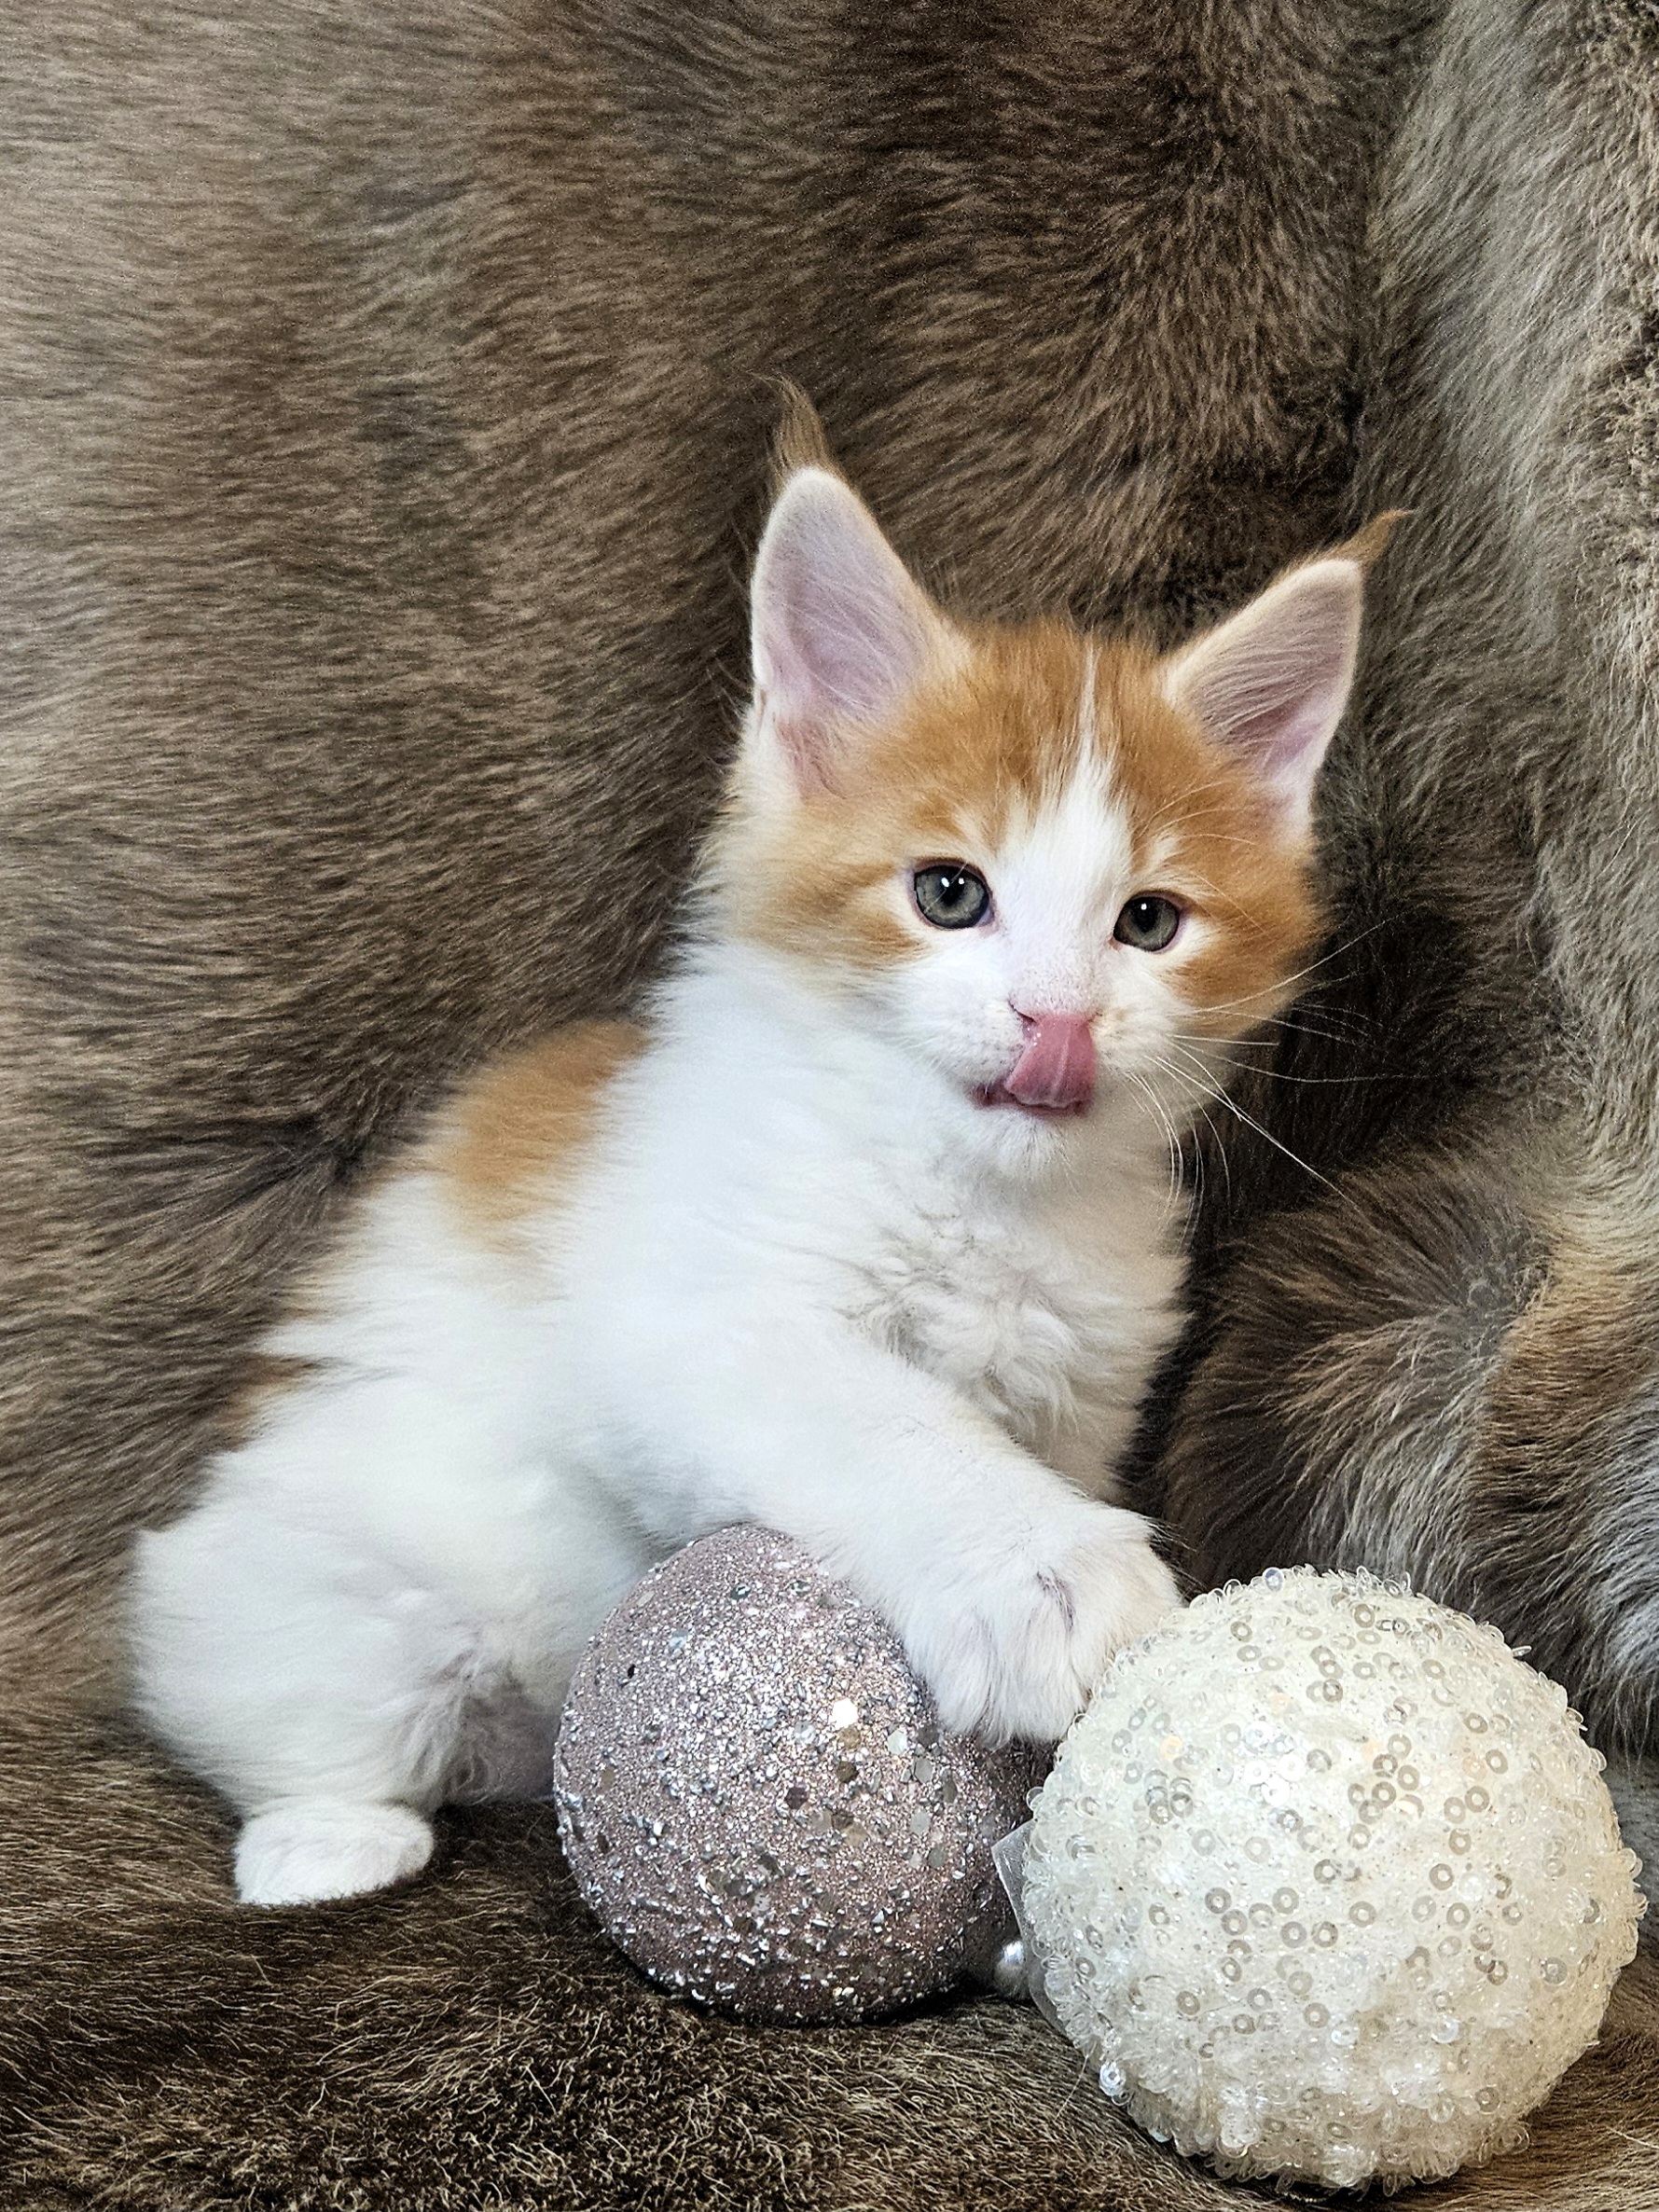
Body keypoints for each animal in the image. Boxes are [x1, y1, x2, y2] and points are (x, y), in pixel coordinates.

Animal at [130, 432, 1382, 1908]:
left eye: (1147, 921)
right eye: (948, 894)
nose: (1057, 1019)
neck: (973, 1190)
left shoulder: (1078, 1390)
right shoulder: (695, 1324)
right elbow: (889, 1421)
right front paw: (1046, 1570)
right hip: (324, 1589)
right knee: (279, 1703)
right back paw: (327, 1845)